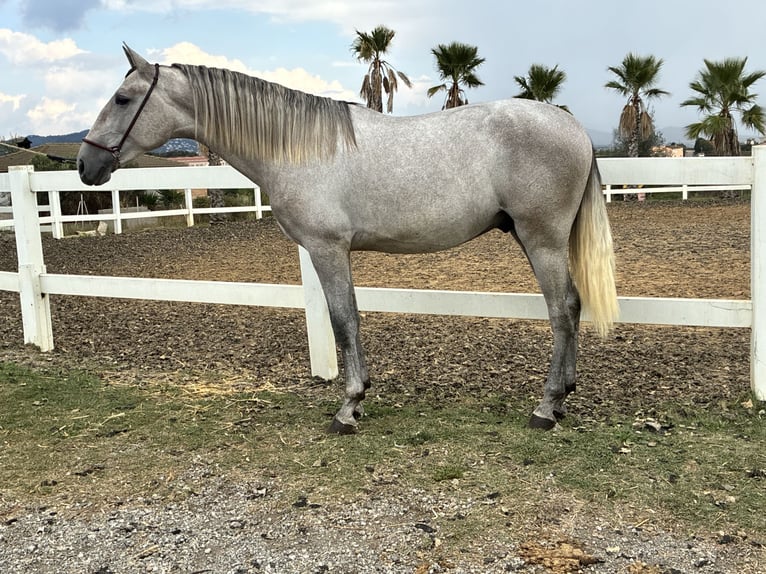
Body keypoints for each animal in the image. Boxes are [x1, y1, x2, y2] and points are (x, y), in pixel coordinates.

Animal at [78, 45, 618, 433]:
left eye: (122, 99)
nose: (86, 165)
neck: (297, 147)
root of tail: (574, 126)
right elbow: (349, 319)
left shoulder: (327, 249)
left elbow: (344, 320)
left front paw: (349, 406)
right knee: (572, 306)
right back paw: (563, 398)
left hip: (541, 240)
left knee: (561, 311)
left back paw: (546, 407)